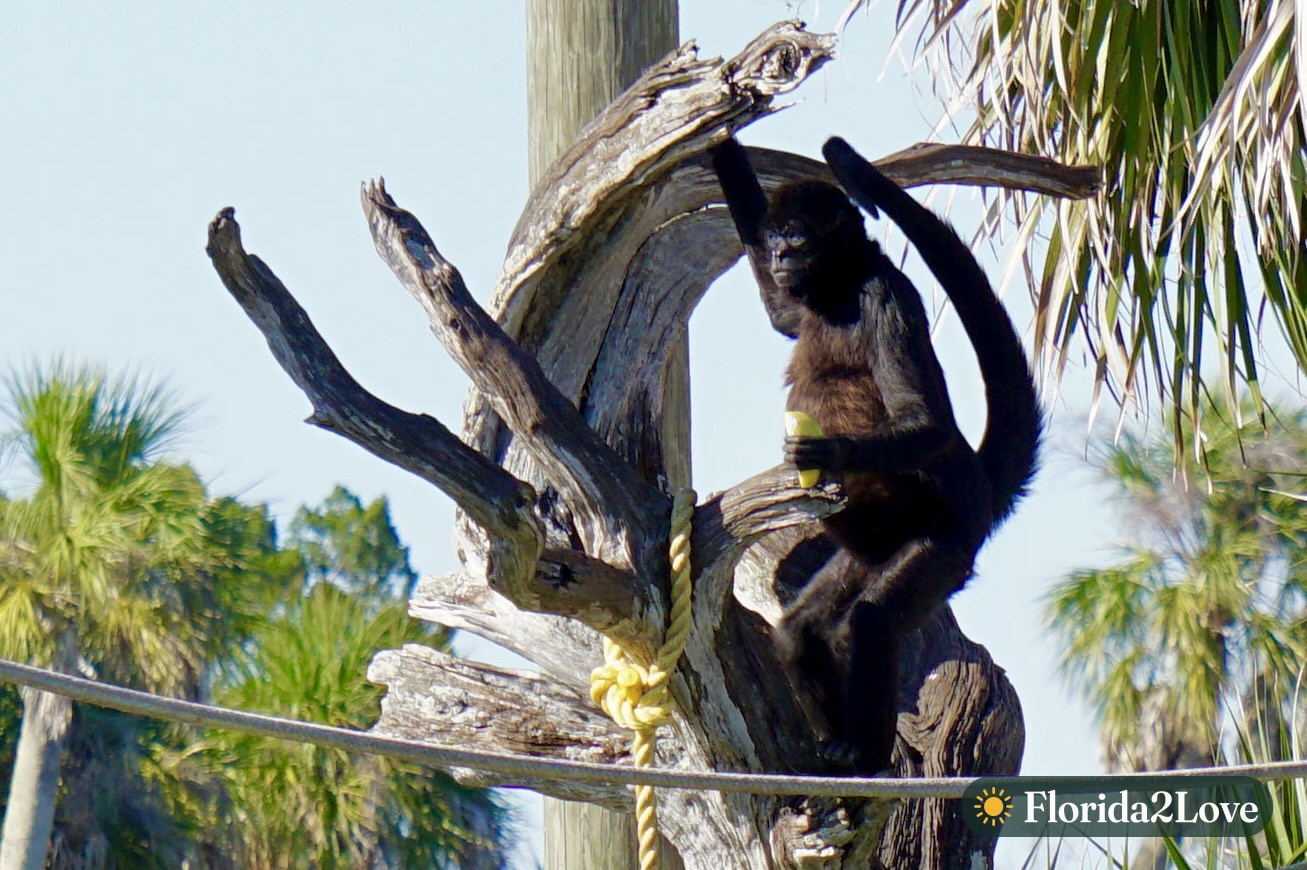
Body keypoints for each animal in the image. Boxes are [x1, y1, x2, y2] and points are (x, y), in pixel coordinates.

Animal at [710, 137, 1041, 771]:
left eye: (797, 236)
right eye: (774, 236)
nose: (781, 253)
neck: (842, 285)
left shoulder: (884, 296)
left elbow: (926, 420)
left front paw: (826, 449)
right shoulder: (806, 300)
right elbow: (779, 312)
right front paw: (720, 136)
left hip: (943, 545)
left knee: (870, 621)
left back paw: (863, 753)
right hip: (867, 550)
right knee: (802, 629)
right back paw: (835, 740)